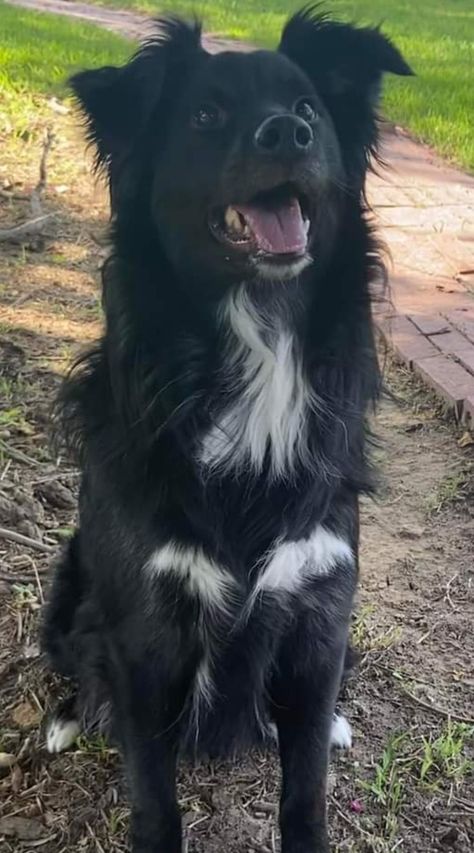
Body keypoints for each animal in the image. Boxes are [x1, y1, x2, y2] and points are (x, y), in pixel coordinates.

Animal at [43, 8, 412, 852]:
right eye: (205, 116)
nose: (287, 134)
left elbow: (306, 790)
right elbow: (155, 796)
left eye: (308, 108)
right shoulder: (145, 627)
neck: (256, 345)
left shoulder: (318, 612)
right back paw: (69, 716)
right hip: (70, 576)